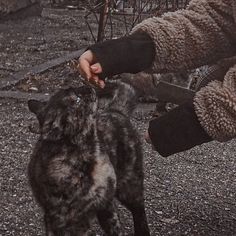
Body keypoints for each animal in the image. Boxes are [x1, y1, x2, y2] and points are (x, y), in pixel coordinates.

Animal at [27, 81, 149, 236]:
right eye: (77, 99)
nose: (87, 86)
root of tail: (115, 111)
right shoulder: (60, 219)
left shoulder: (105, 204)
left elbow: (117, 230)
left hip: (129, 186)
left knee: (139, 212)